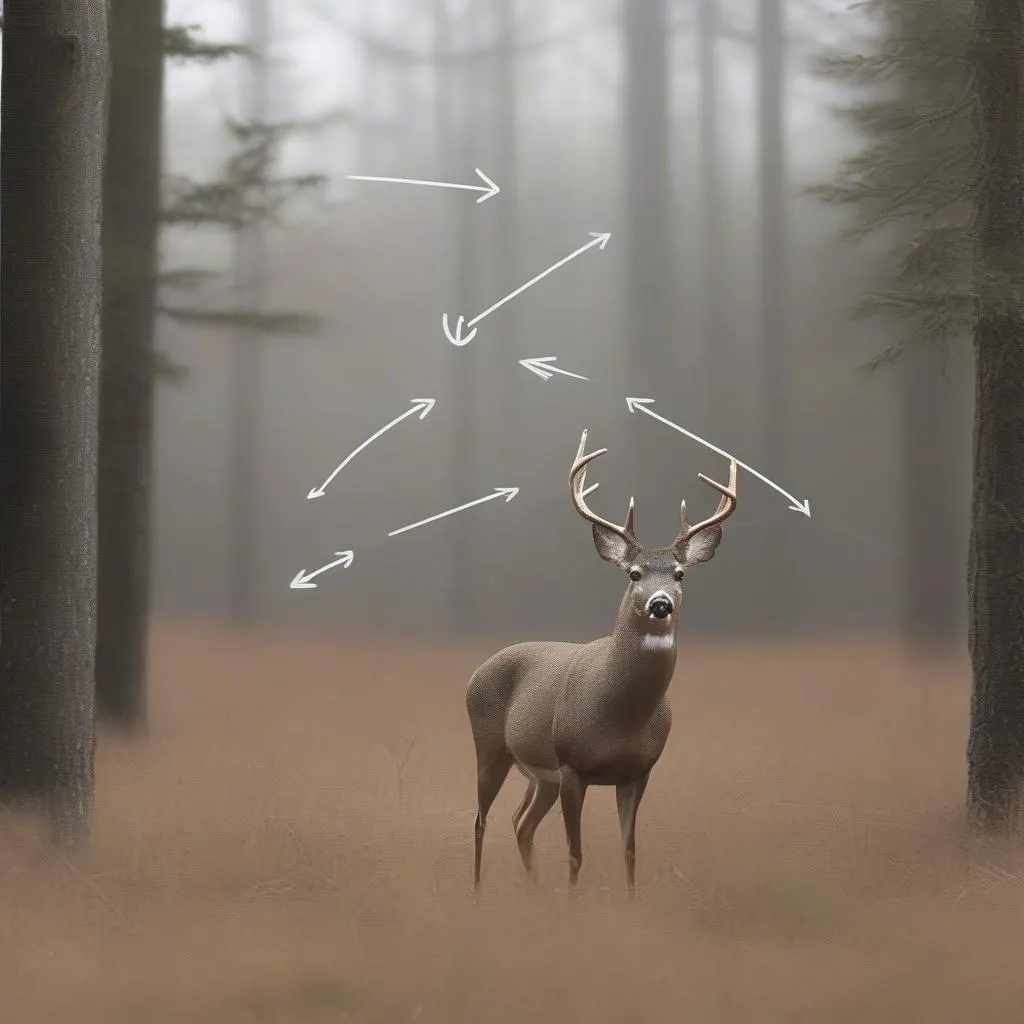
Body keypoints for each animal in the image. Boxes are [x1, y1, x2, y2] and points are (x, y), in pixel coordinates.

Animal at [464, 428, 737, 892]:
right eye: (634, 574)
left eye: (680, 574)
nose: (660, 604)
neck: (618, 713)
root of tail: (475, 673)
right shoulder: (573, 764)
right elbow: (575, 854)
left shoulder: (638, 771)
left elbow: (630, 852)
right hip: (490, 746)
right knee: (482, 820)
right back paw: (479, 891)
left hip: (539, 774)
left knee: (521, 822)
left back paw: (532, 890)